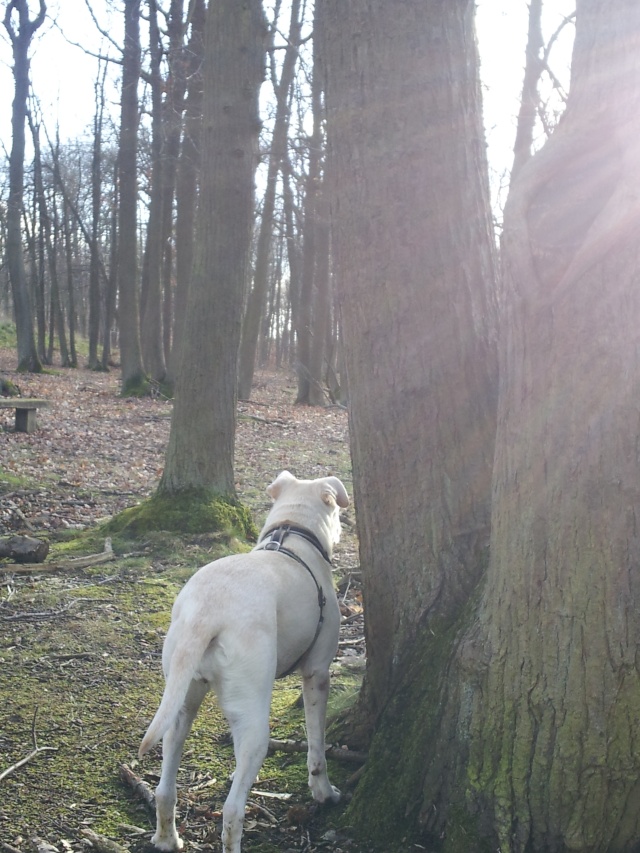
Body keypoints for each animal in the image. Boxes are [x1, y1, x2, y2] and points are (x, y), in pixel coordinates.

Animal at [139, 470, 350, 848]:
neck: (294, 532)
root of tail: (206, 613)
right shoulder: (317, 673)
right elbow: (317, 747)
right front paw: (324, 792)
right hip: (254, 724)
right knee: (232, 811)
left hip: (181, 703)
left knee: (165, 788)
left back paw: (167, 839)